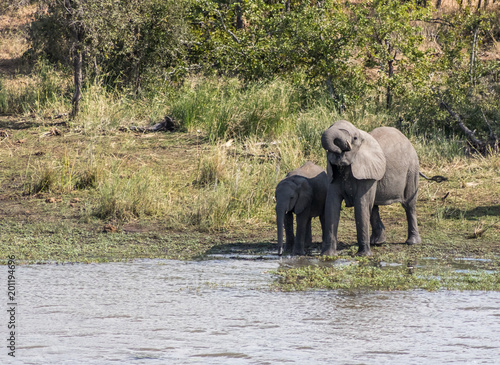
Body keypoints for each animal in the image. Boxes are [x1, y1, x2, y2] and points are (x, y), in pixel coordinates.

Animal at [320, 120, 422, 256]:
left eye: (355, 138)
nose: (339, 149)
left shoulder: (366, 172)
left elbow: (361, 205)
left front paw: (363, 255)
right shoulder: (333, 174)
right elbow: (332, 205)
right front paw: (327, 255)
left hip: (412, 169)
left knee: (409, 205)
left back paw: (412, 242)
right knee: (374, 207)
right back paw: (377, 242)